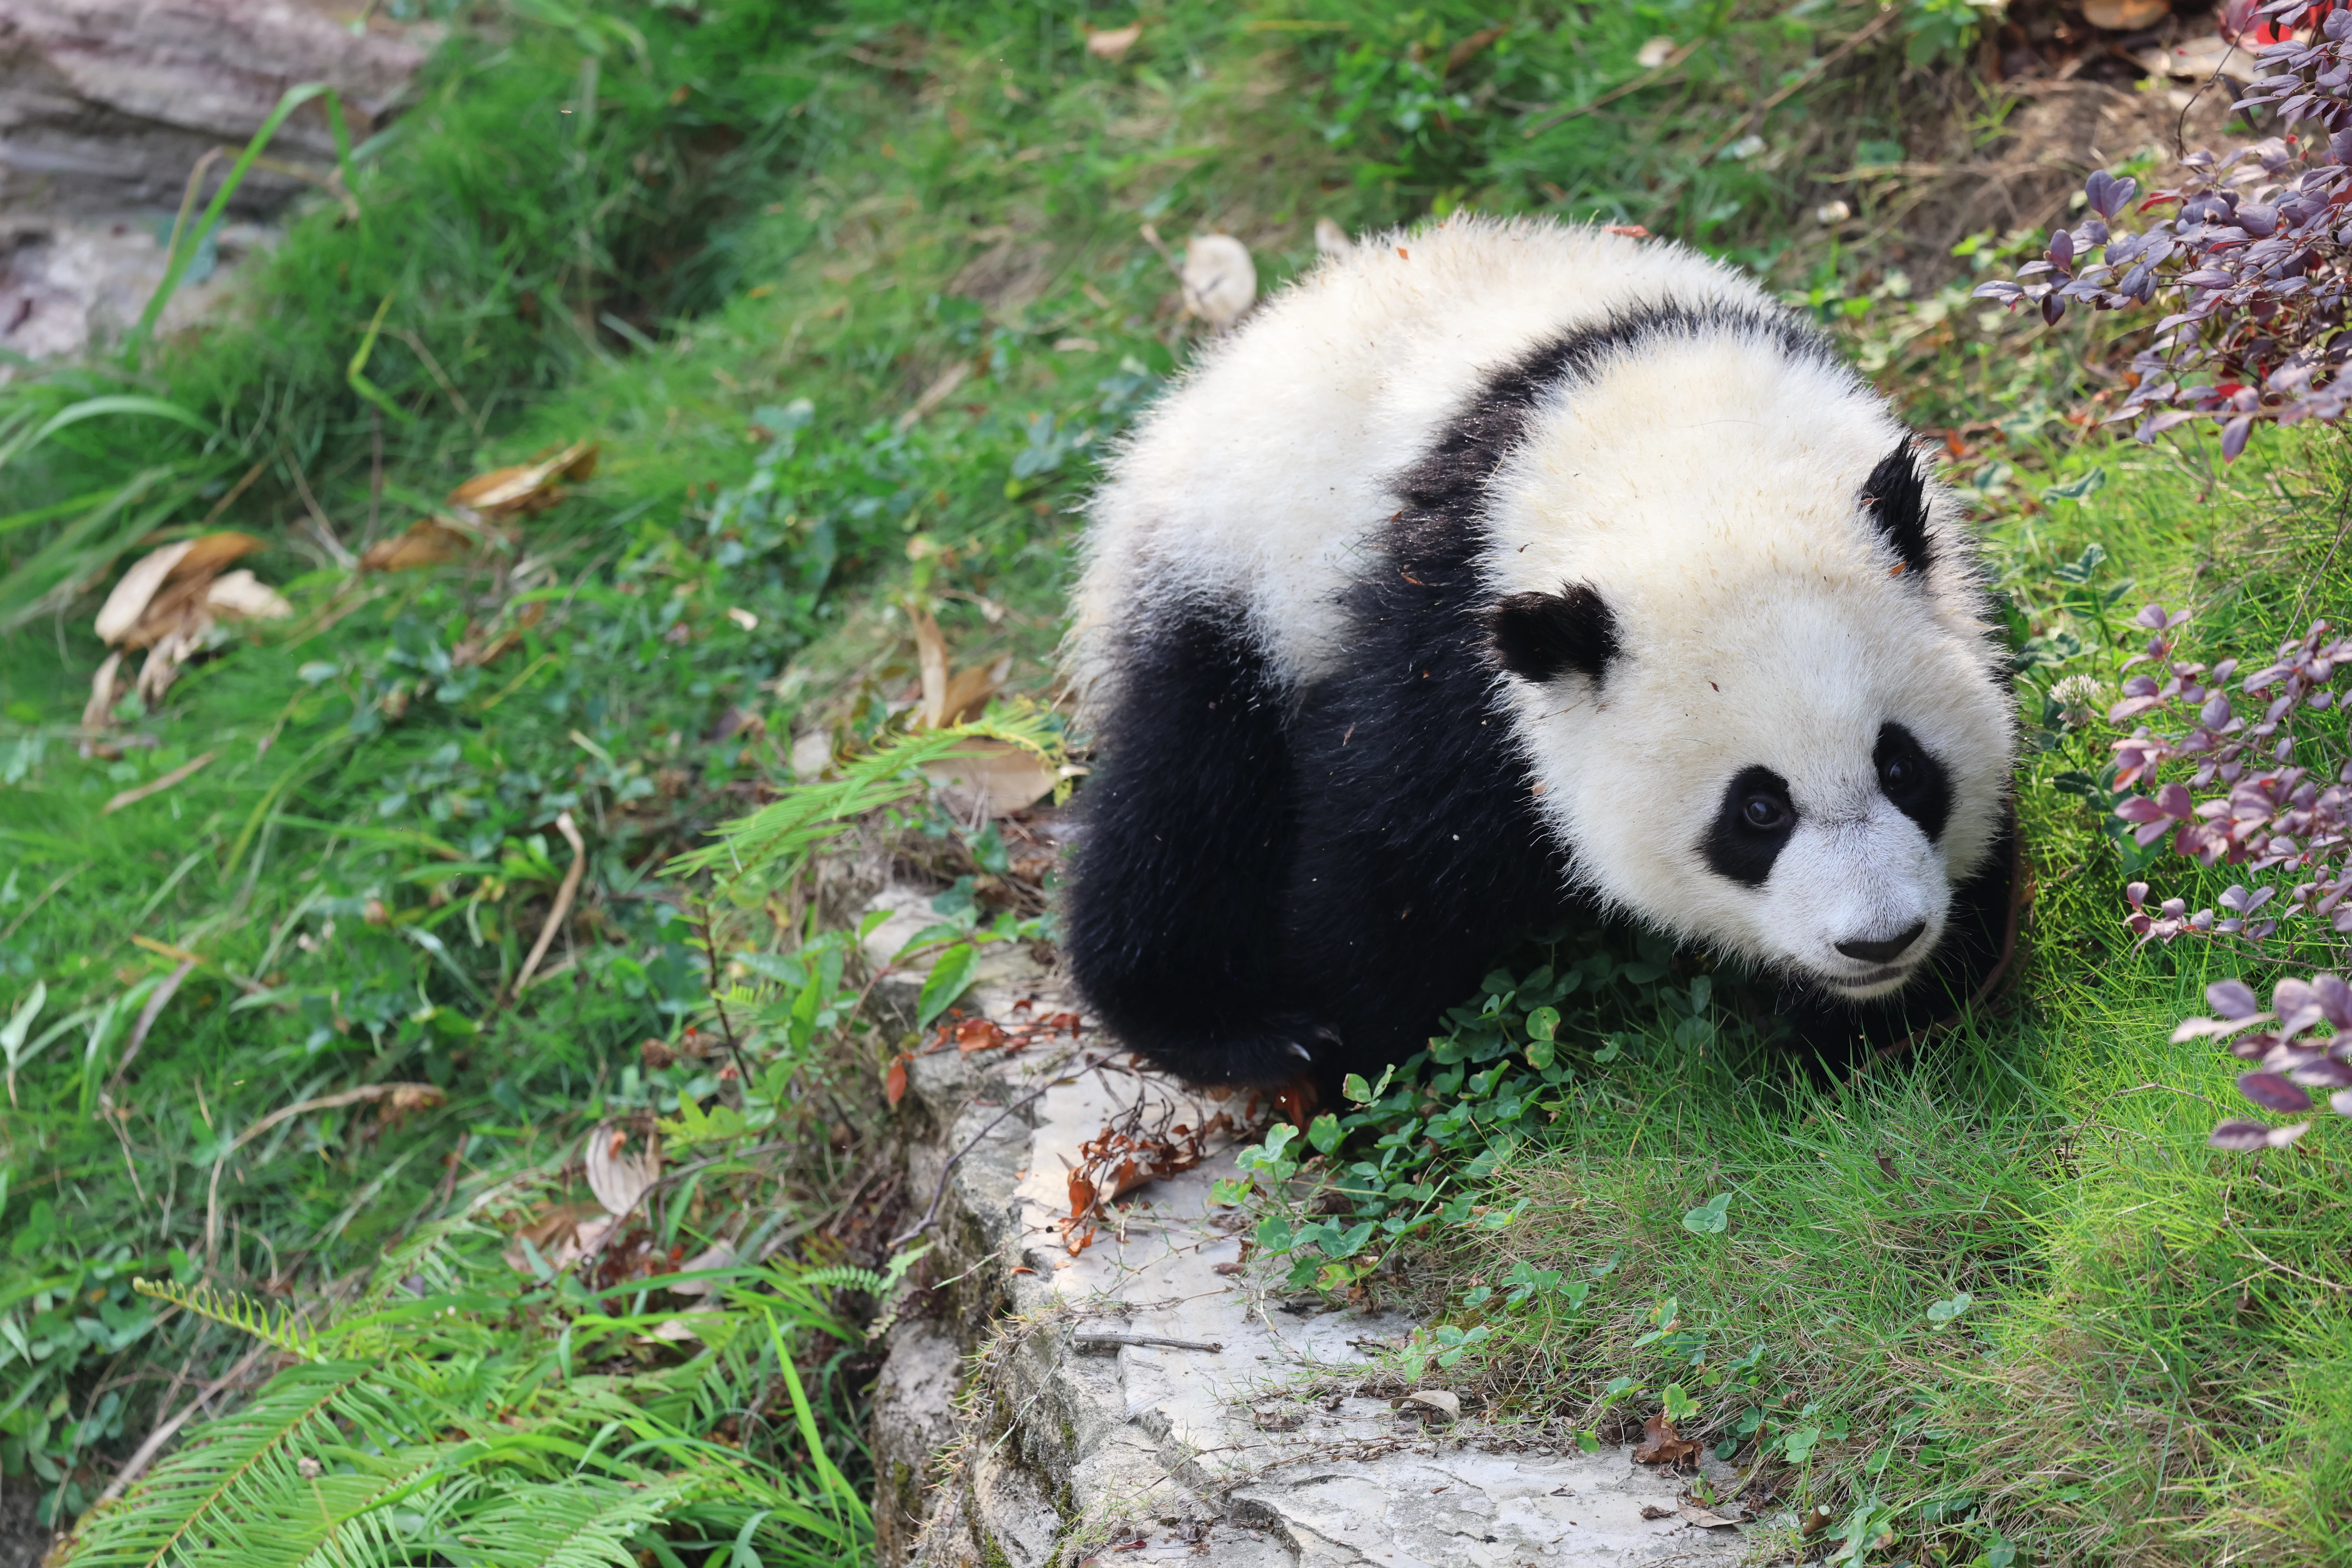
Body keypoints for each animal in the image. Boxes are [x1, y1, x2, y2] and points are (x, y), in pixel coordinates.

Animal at [1059, 215, 2017, 1090]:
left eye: (1902, 767)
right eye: (1757, 810)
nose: (1880, 939)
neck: (1689, 471)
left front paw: (1890, 1028)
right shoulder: (1450, 636)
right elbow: (1387, 847)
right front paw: (1352, 1053)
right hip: (1232, 571)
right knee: (1186, 790)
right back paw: (1224, 1023)